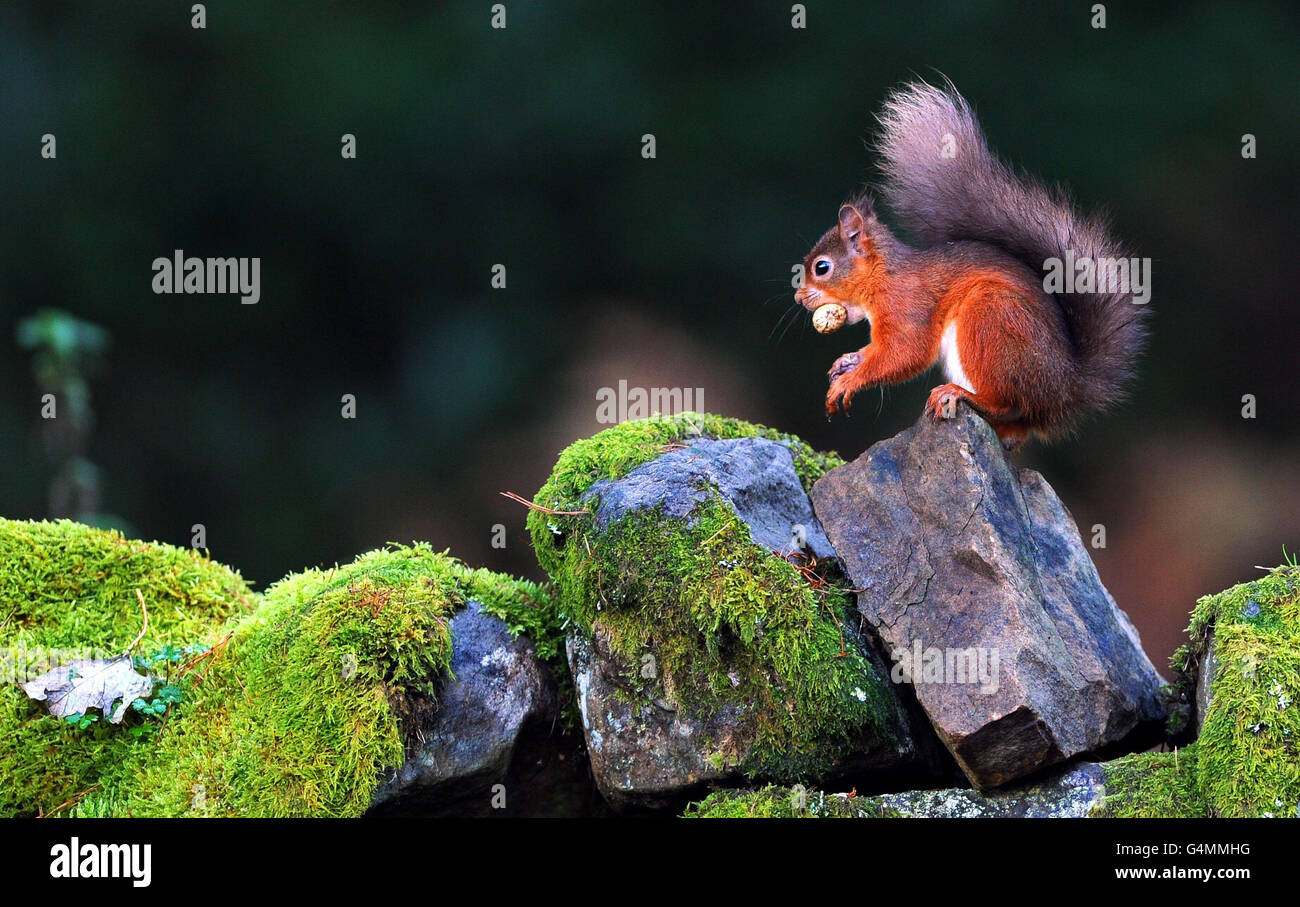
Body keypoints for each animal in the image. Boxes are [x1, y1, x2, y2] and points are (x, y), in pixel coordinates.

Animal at [796, 80, 1147, 450]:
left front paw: (850, 380)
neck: (883, 276)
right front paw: (848, 360)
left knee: (1005, 401)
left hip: (991, 317)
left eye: (822, 267)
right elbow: (876, 352)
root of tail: (1064, 390)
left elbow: (904, 353)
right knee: (1017, 424)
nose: (798, 298)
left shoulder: (907, 306)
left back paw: (960, 394)